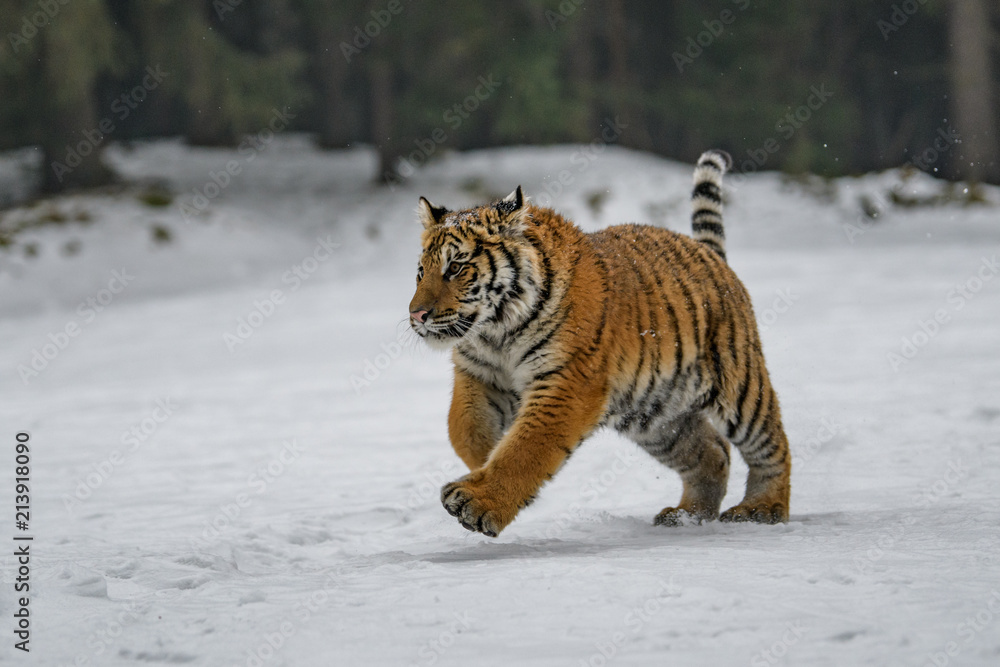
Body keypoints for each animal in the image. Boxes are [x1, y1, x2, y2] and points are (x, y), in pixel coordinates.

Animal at [408, 150, 791, 537]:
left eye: (456, 268)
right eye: (421, 272)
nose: (417, 314)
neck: (497, 331)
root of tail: (707, 252)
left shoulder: (566, 382)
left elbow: (526, 448)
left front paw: (478, 502)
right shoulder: (479, 375)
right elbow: (464, 429)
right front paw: (483, 461)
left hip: (739, 388)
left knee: (772, 446)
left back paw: (761, 508)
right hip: (657, 416)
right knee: (713, 451)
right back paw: (688, 515)